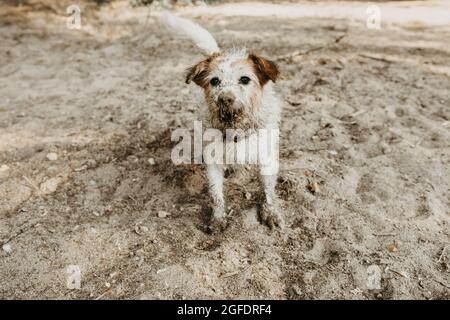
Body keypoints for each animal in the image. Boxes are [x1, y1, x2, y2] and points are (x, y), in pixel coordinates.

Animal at [160, 12, 284, 231]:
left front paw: (270, 212)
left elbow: (268, 190)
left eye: (245, 79)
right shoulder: (213, 161)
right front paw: (218, 218)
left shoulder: (266, 157)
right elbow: (216, 194)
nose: (224, 98)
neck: (235, 129)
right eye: (214, 81)